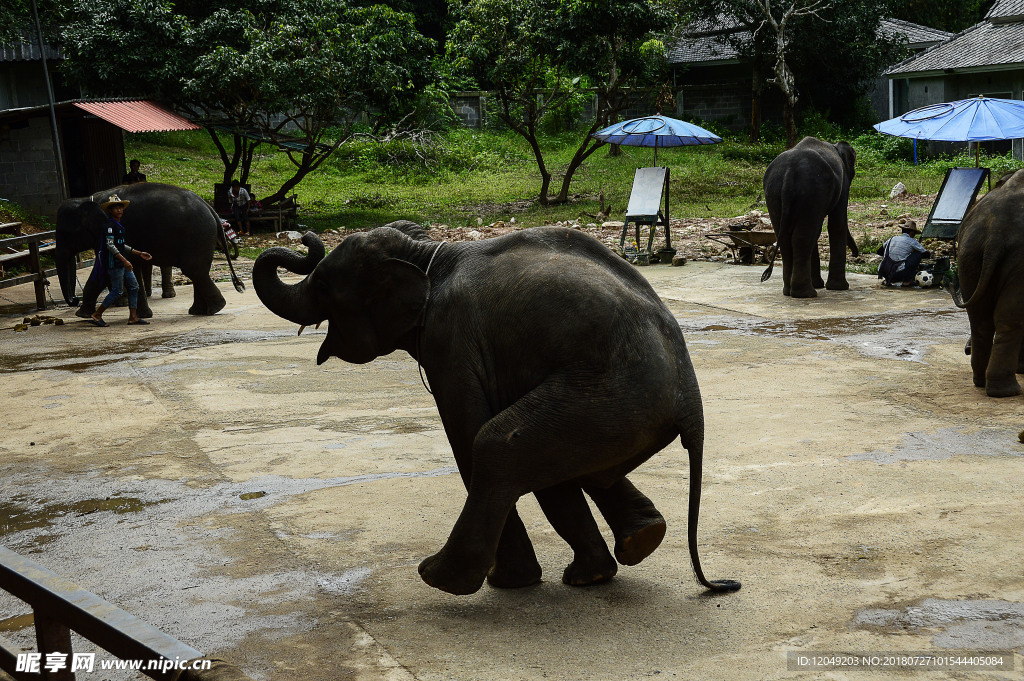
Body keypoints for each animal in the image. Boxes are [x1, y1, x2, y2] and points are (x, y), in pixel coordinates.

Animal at [57, 182, 243, 317]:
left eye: (65, 234)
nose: (74, 300)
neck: (86, 199)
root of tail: (211, 209)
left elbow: (106, 268)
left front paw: (81, 315)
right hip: (201, 237)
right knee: (198, 272)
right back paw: (200, 312)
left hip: (198, 234)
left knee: (193, 270)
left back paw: (214, 309)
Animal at [251, 224, 741, 593]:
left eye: (321, 284)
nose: (302, 237)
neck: (426, 254)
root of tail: (692, 405)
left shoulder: (450, 339)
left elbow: (466, 432)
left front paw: (506, 583)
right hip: (612, 411)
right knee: (567, 467)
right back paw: (624, 553)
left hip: (610, 398)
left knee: (499, 448)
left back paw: (441, 577)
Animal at [765, 136, 860, 296]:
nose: (855, 255)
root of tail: (789, 172)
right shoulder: (843, 184)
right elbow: (837, 224)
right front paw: (839, 288)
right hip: (812, 190)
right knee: (803, 236)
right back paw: (806, 294)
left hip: (774, 193)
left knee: (787, 237)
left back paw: (789, 291)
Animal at [950, 166, 1024, 395]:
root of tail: (995, 233)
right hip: (1017, 261)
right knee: (1009, 318)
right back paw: (1006, 391)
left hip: (969, 253)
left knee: (979, 319)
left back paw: (981, 381)